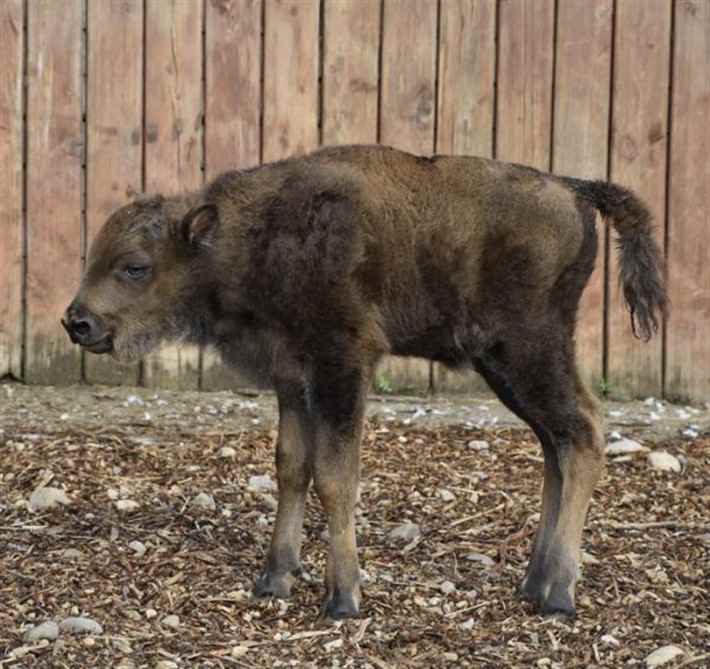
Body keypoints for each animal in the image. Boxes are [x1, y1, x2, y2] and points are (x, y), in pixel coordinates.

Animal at [62, 144, 668, 620]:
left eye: (135, 266)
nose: (77, 321)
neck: (254, 236)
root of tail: (574, 189)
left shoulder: (343, 366)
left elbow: (336, 477)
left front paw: (343, 598)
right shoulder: (292, 378)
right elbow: (292, 467)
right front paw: (273, 580)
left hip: (529, 351)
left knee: (583, 434)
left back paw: (559, 596)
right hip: (506, 367)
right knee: (554, 446)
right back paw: (532, 584)